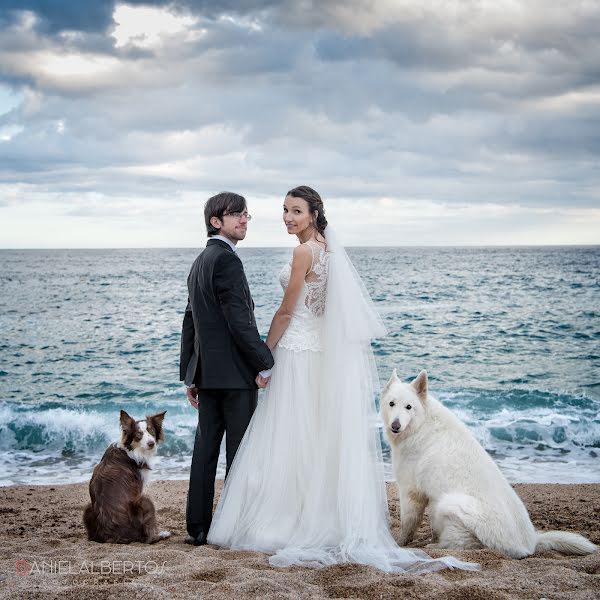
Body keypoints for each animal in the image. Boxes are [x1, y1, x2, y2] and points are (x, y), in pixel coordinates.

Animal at [82, 408, 171, 544]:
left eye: (151, 431)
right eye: (139, 434)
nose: (151, 444)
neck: (130, 450)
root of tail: (115, 536)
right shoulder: (138, 489)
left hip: (88, 508)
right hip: (145, 501)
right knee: (148, 538)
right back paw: (161, 535)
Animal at [382, 368, 596, 560]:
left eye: (409, 407)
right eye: (391, 404)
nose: (395, 426)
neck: (421, 425)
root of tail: (530, 545)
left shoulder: (411, 491)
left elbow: (407, 524)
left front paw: (399, 543)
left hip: (448, 504)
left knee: (464, 543)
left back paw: (436, 546)